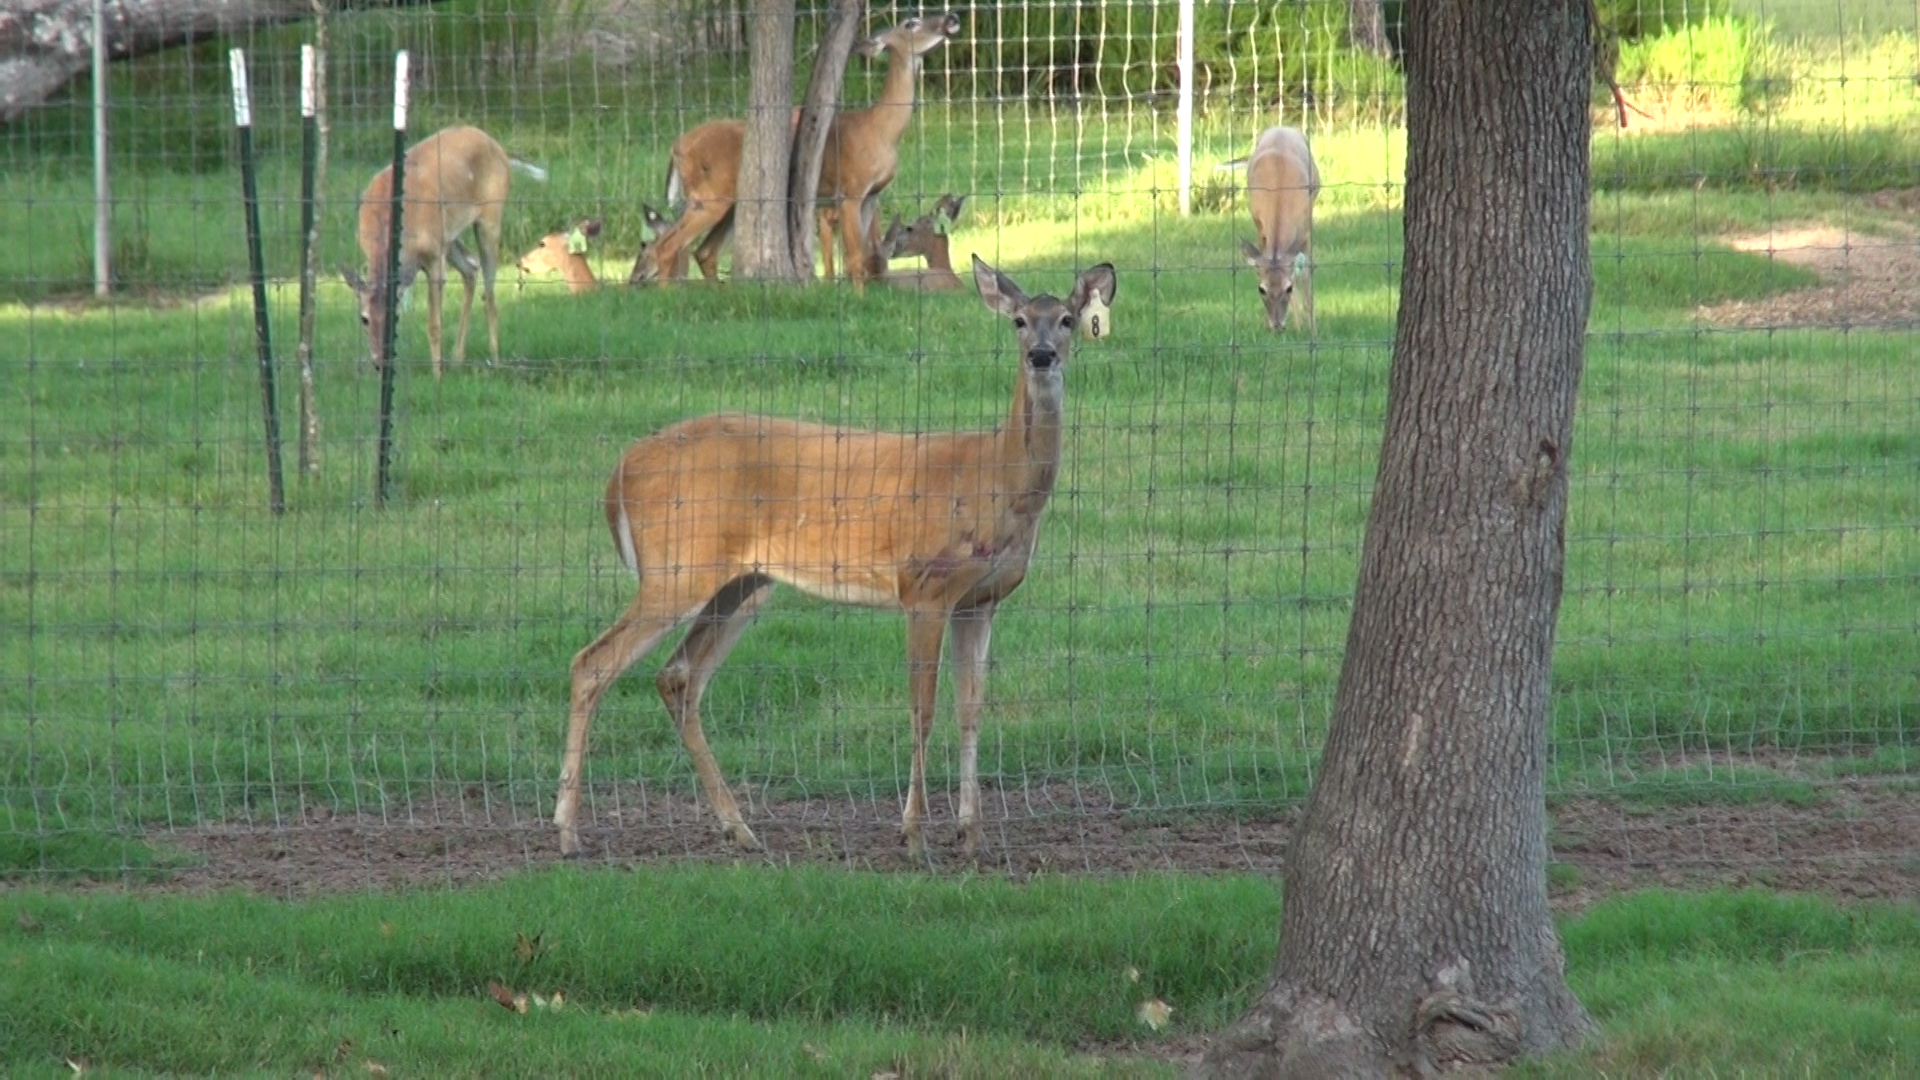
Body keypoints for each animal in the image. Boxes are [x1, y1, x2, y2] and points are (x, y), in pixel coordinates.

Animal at [341, 124, 548, 379]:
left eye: (394, 317)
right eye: (364, 319)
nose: (380, 363)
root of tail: (497, 146)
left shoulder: (433, 256)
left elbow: (434, 324)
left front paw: (437, 377)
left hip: (490, 217)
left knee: (489, 291)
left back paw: (495, 361)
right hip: (450, 237)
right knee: (471, 268)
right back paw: (458, 359)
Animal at [553, 255, 1118, 864]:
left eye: (1066, 319)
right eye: (1018, 321)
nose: (1042, 354)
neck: (996, 477)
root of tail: (618, 474)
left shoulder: (981, 600)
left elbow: (971, 711)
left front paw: (971, 834)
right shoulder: (924, 586)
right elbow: (922, 710)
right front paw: (914, 835)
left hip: (742, 583)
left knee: (678, 677)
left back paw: (739, 828)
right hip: (674, 569)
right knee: (592, 663)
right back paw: (567, 832)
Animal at [1240, 125, 1319, 334]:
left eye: (1288, 288)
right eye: (1261, 289)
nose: (1276, 325)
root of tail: (1282, 127)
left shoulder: (1306, 231)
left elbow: (1305, 279)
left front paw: (1312, 331)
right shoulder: (1259, 226)